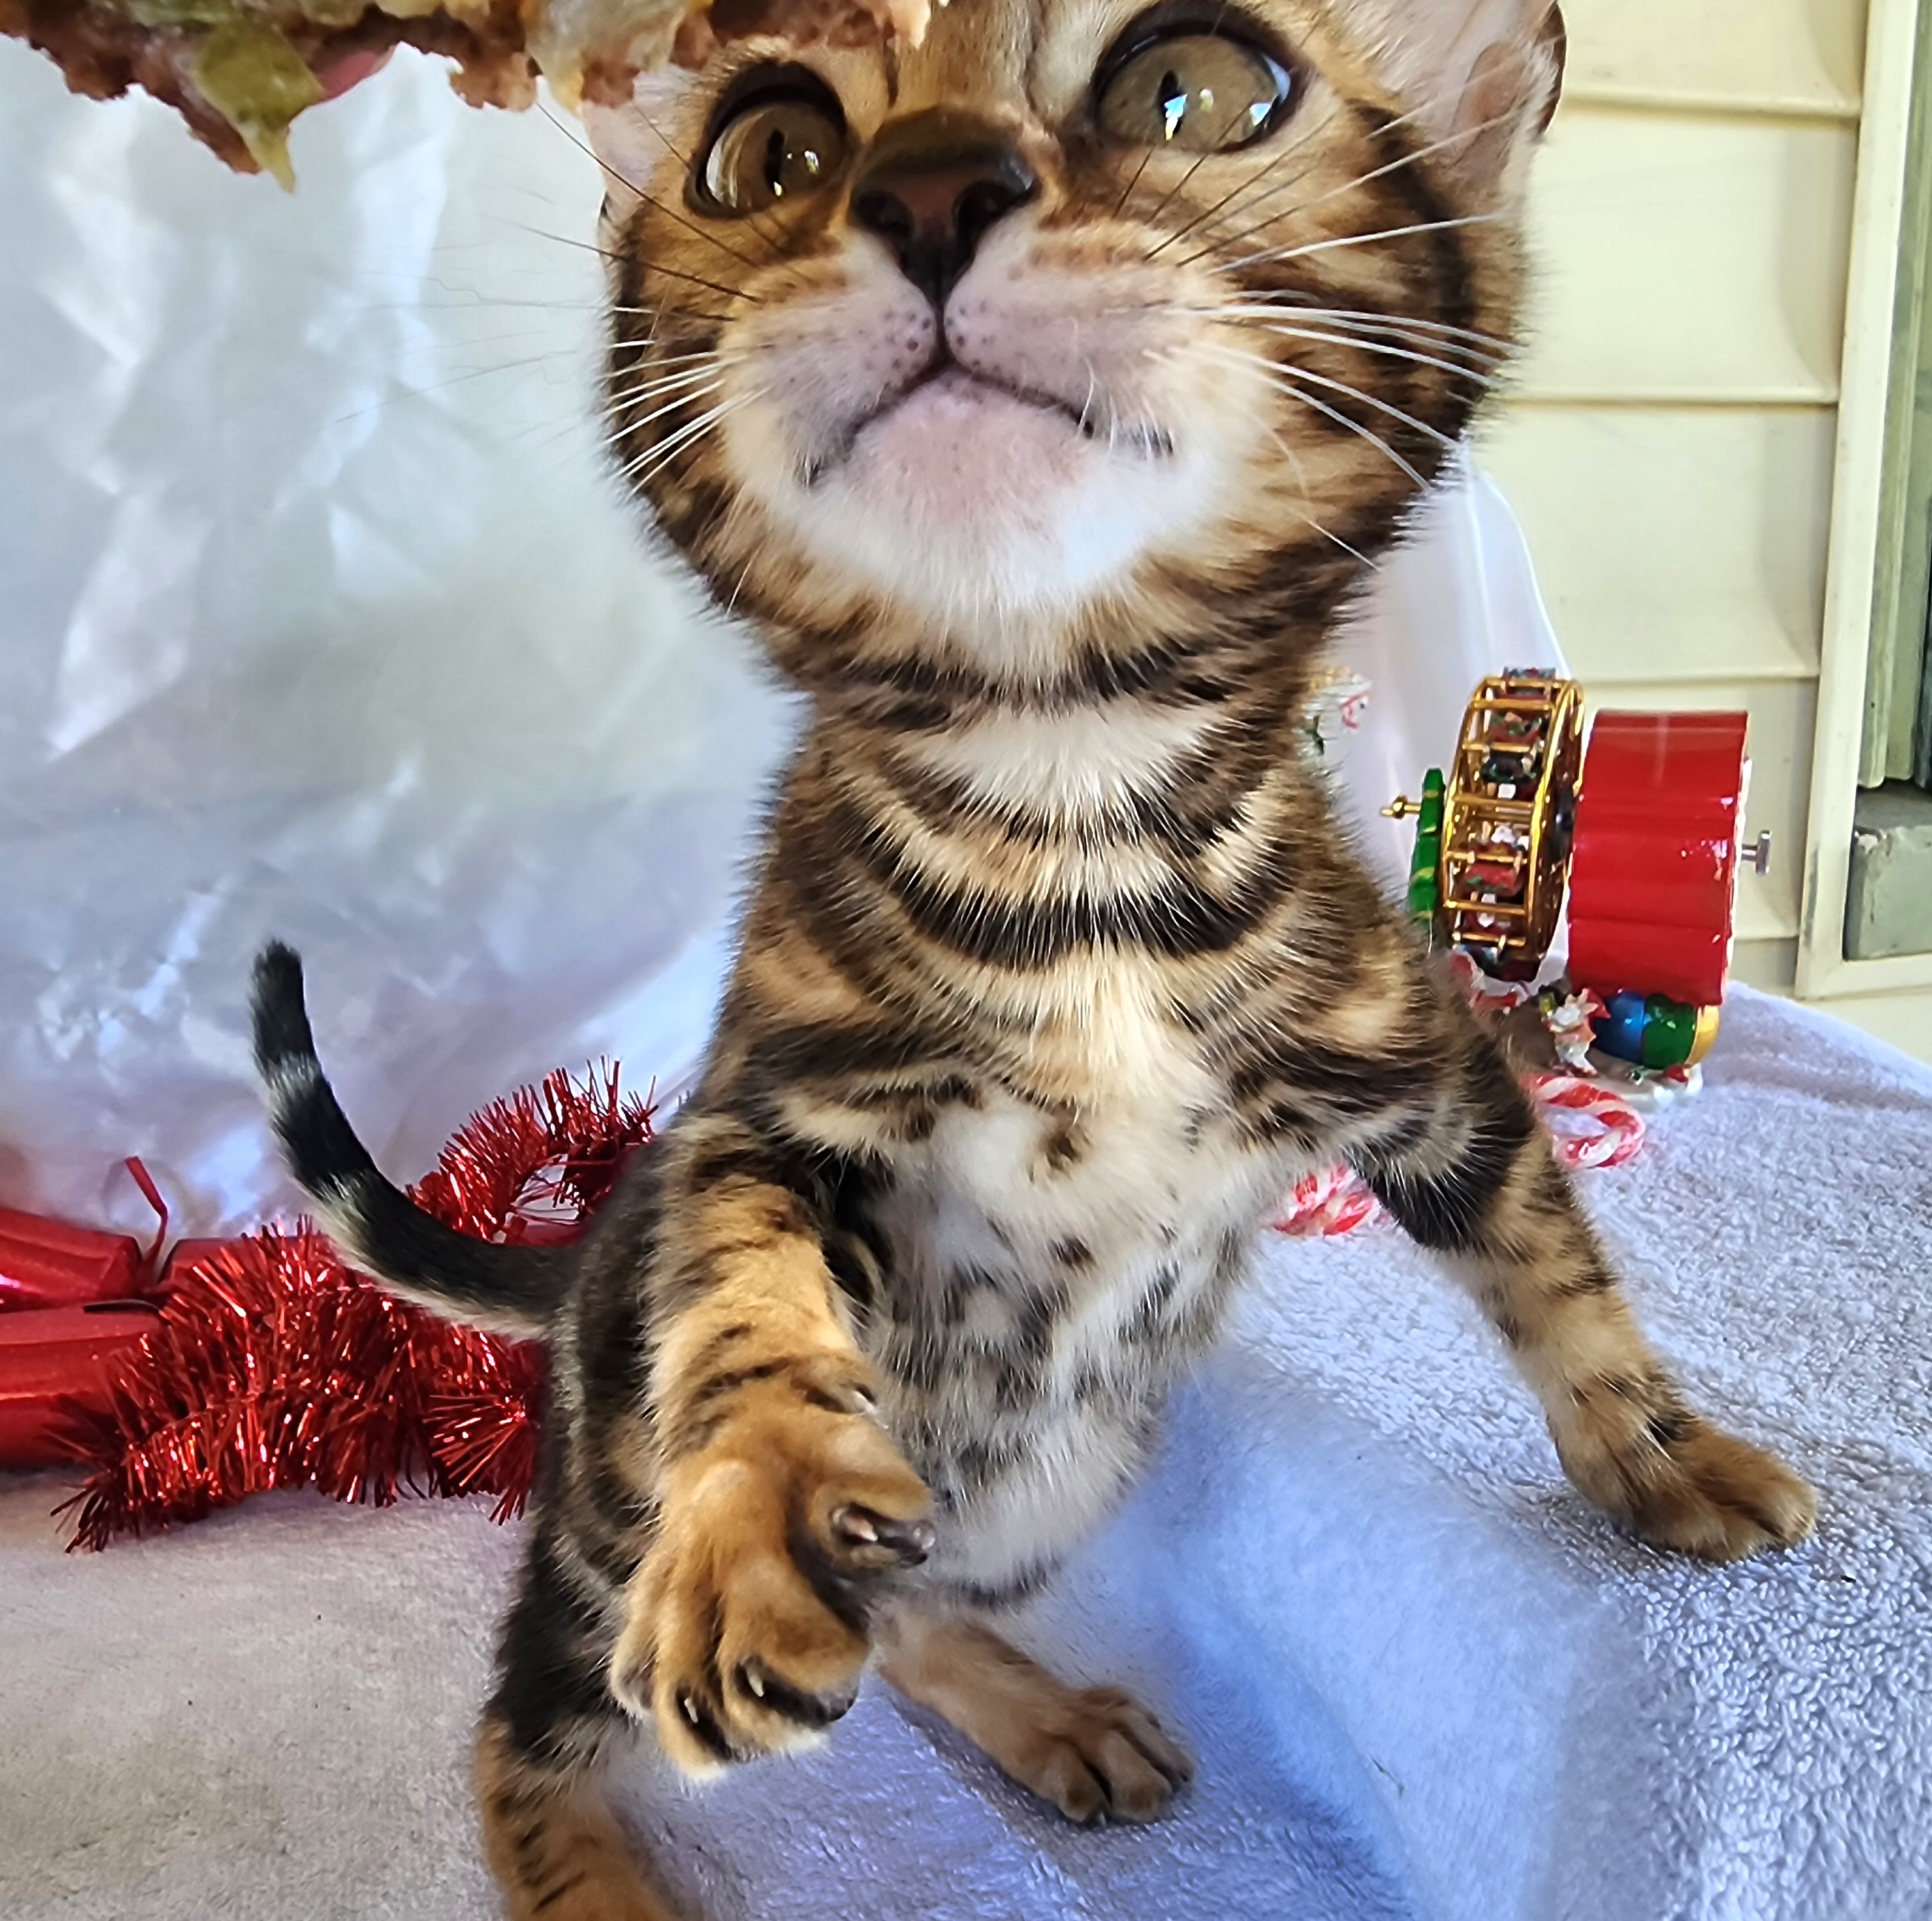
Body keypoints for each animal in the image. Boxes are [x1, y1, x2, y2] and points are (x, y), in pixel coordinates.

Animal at [251, 1, 1819, 1915]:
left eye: (1197, 86)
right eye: (769, 148)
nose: (931, 184)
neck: (1072, 797)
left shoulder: (1429, 1057)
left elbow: (1557, 1266)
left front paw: (1668, 1458)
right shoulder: (769, 1118)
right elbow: (747, 1304)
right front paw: (755, 1502)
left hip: (1050, 1481)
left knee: (917, 1599)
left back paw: (1041, 1708)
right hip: (613, 1489)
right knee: (521, 1725)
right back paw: (606, 1865)